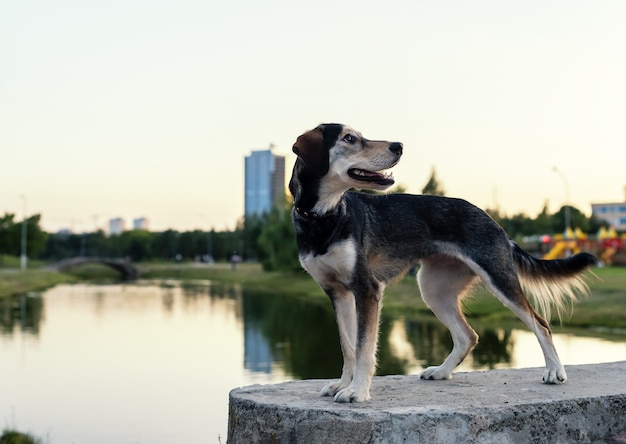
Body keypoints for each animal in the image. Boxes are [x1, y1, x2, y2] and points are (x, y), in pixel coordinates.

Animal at [288, 122, 596, 402]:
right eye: (349, 138)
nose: (398, 146)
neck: (324, 217)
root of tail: (493, 221)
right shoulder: (338, 293)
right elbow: (348, 346)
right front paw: (343, 384)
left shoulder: (367, 288)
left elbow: (364, 347)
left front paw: (357, 391)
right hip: (434, 289)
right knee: (467, 336)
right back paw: (441, 371)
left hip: (498, 279)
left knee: (540, 324)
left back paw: (555, 372)